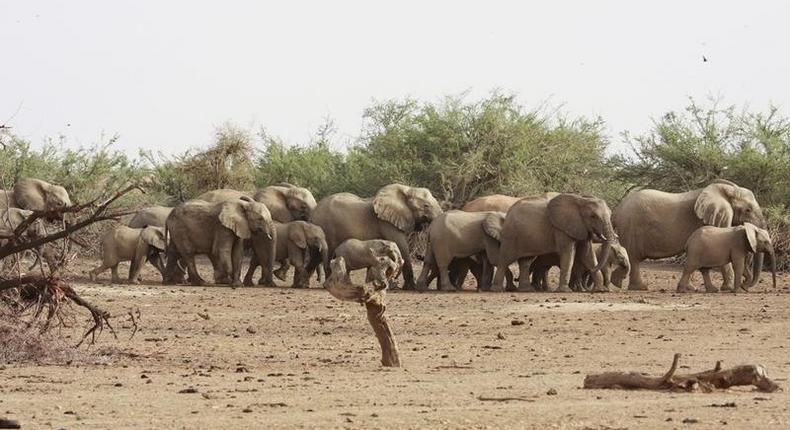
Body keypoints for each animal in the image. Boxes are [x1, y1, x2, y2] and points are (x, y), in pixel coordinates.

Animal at [310, 183, 446, 290]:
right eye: (426, 206)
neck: (407, 189)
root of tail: (314, 211)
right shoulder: (386, 222)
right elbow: (402, 246)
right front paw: (409, 288)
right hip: (325, 228)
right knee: (327, 255)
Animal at [620, 176, 768, 290]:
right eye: (748, 210)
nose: (745, 285)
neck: (725, 190)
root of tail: (617, 210)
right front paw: (729, 288)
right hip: (630, 228)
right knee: (634, 258)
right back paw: (640, 288)